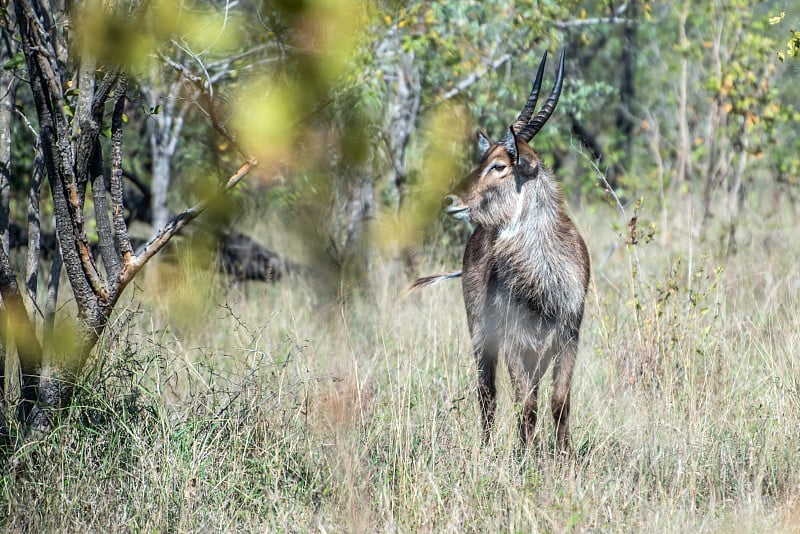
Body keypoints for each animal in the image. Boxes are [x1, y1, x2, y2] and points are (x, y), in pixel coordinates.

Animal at [412, 50, 588, 454]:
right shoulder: (512, 340)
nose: (449, 200)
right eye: (482, 161)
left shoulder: (568, 338)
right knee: (487, 393)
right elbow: (526, 404)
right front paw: (527, 457)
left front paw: (564, 457)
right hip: (481, 334)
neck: (543, 281)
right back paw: (488, 448)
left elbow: (559, 402)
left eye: (499, 165)